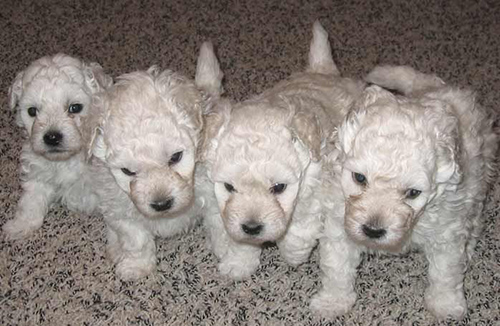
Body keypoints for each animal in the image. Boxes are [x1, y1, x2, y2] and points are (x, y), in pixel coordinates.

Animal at [2, 53, 112, 239]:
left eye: (75, 108)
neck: (67, 159)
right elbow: (31, 200)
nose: (52, 138)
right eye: (32, 111)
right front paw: (20, 225)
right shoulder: (37, 170)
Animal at [90, 58, 215, 280]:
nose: (161, 204)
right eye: (128, 172)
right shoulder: (122, 210)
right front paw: (136, 267)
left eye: (175, 157)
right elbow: (136, 240)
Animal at [195, 21, 364, 278]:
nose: (252, 227)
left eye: (278, 188)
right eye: (228, 187)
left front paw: (294, 255)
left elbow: (299, 228)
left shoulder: (315, 192)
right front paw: (239, 263)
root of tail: (323, 71)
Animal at [310, 65, 498, 320]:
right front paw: (332, 302)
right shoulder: (339, 223)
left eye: (413, 193)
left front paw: (446, 305)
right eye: (359, 178)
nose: (373, 231)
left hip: (479, 179)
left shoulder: (446, 232)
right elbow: (336, 267)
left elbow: (445, 273)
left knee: (475, 219)